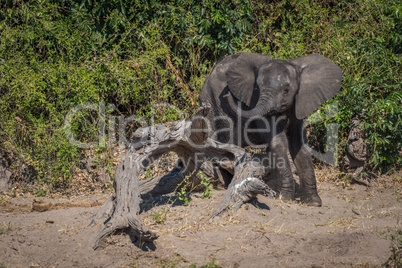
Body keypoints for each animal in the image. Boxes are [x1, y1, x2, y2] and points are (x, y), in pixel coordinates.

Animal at [199, 52, 340, 207]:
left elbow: (300, 146)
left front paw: (313, 203)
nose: (227, 94)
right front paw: (284, 198)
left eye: (286, 90)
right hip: (215, 105)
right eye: (257, 89)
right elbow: (278, 143)